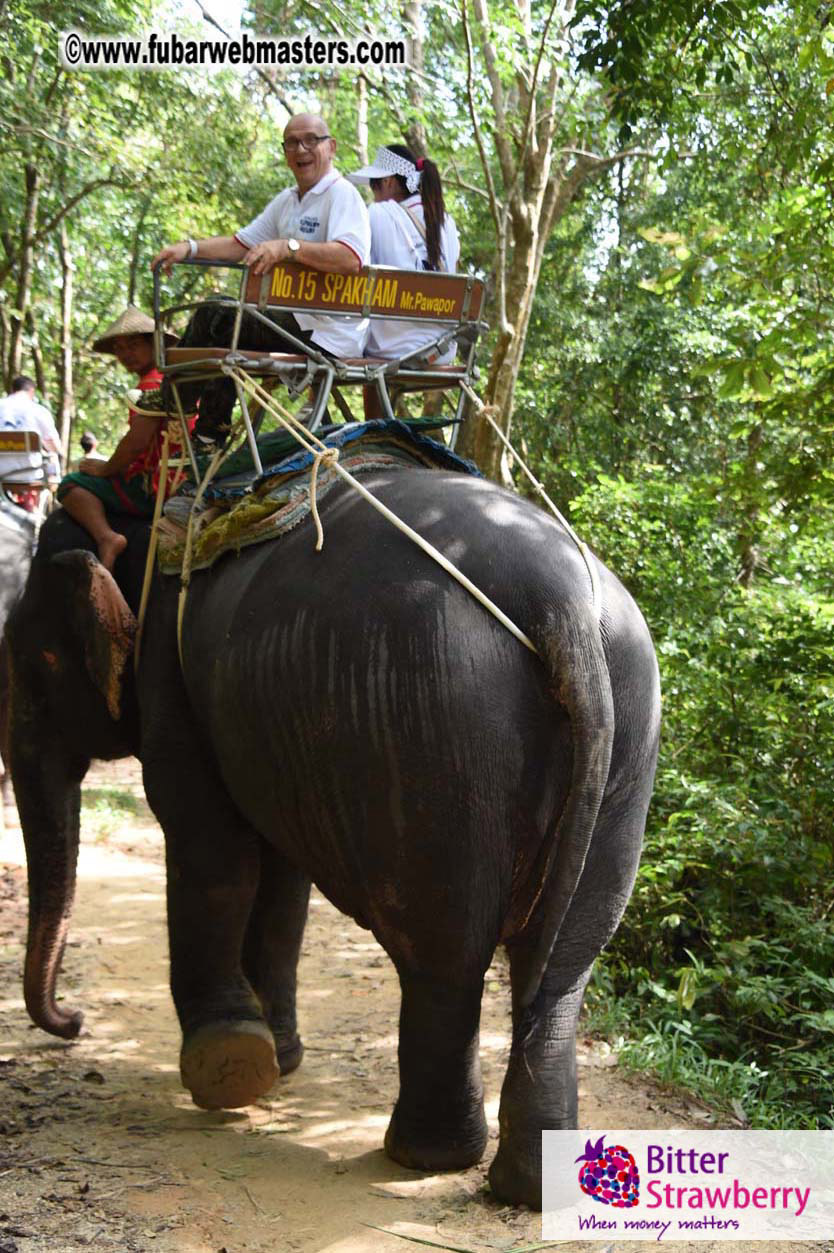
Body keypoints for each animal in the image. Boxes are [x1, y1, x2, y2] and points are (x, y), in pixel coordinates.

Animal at [7, 464, 660, 1209]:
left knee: (443, 957)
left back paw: (422, 1156)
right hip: (622, 738)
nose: (75, 1020)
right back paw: (528, 1186)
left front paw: (229, 1061)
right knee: (560, 968)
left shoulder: (170, 676)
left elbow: (209, 845)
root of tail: (565, 608)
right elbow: (281, 877)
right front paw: (279, 1056)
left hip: (432, 726)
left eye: (32, 661)